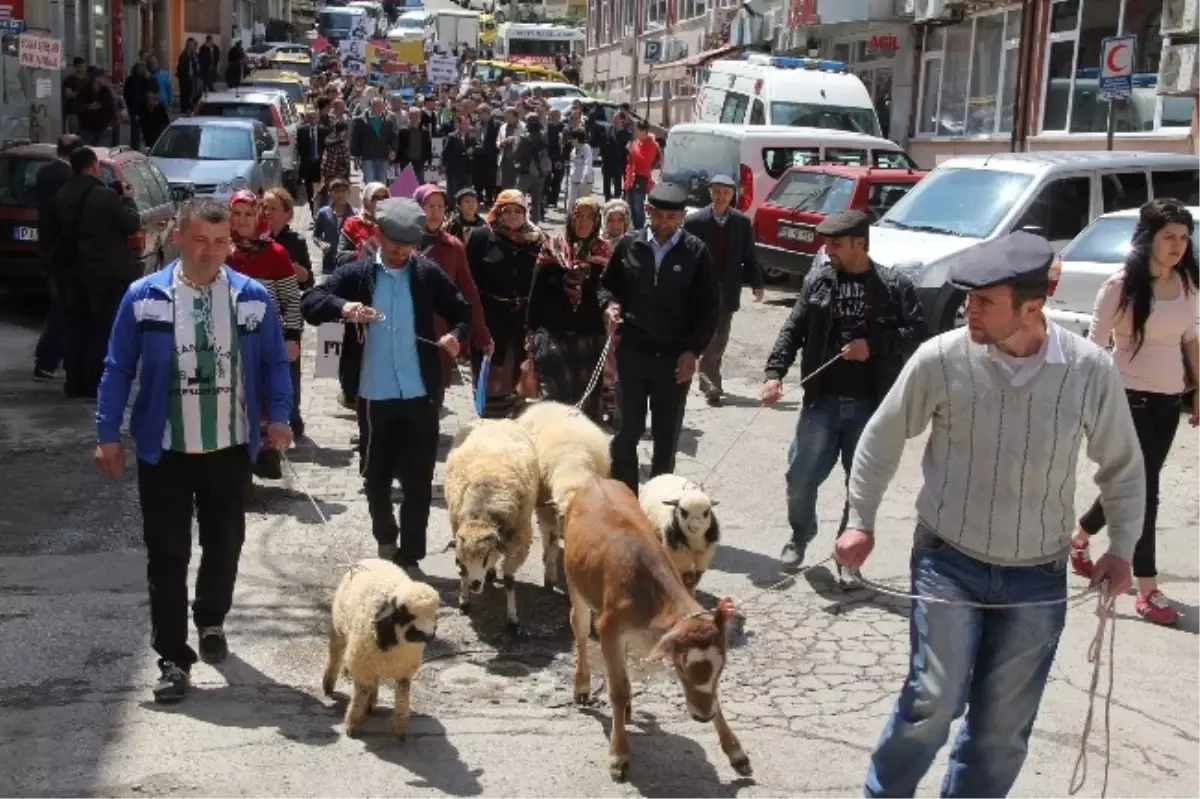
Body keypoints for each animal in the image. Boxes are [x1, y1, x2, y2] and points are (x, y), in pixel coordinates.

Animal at [324, 556, 441, 739]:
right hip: (339, 627)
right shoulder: (362, 667)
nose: (429, 635)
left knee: (374, 680)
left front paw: (401, 731)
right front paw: (352, 726)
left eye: (435, 615)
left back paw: (371, 703)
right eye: (406, 615)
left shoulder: (404, 672)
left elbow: (402, 698)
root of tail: (371, 559)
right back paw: (328, 686)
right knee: (335, 655)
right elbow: (359, 697)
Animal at [444, 419, 542, 633]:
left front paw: (512, 618)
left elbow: (509, 581)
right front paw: (464, 601)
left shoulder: (519, 546)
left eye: (485, 556)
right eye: (461, 558)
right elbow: (463, 572)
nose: (474, 585)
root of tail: (494, 420)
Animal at [513, 400, 609, 587]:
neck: (572, 467)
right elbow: (551, 542)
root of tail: (548, 403)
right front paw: (549, 577)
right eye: (563, 515)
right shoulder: (547, 509)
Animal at [561, 472, 748, 777]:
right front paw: (619, 755)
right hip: (575, 586)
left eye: (721, 668)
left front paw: (736, 751)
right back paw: (582, 686)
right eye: (682, 668)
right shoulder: (608, 626)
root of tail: (597, 479)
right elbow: (618, 689)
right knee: (579, 628)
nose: (703, 716)